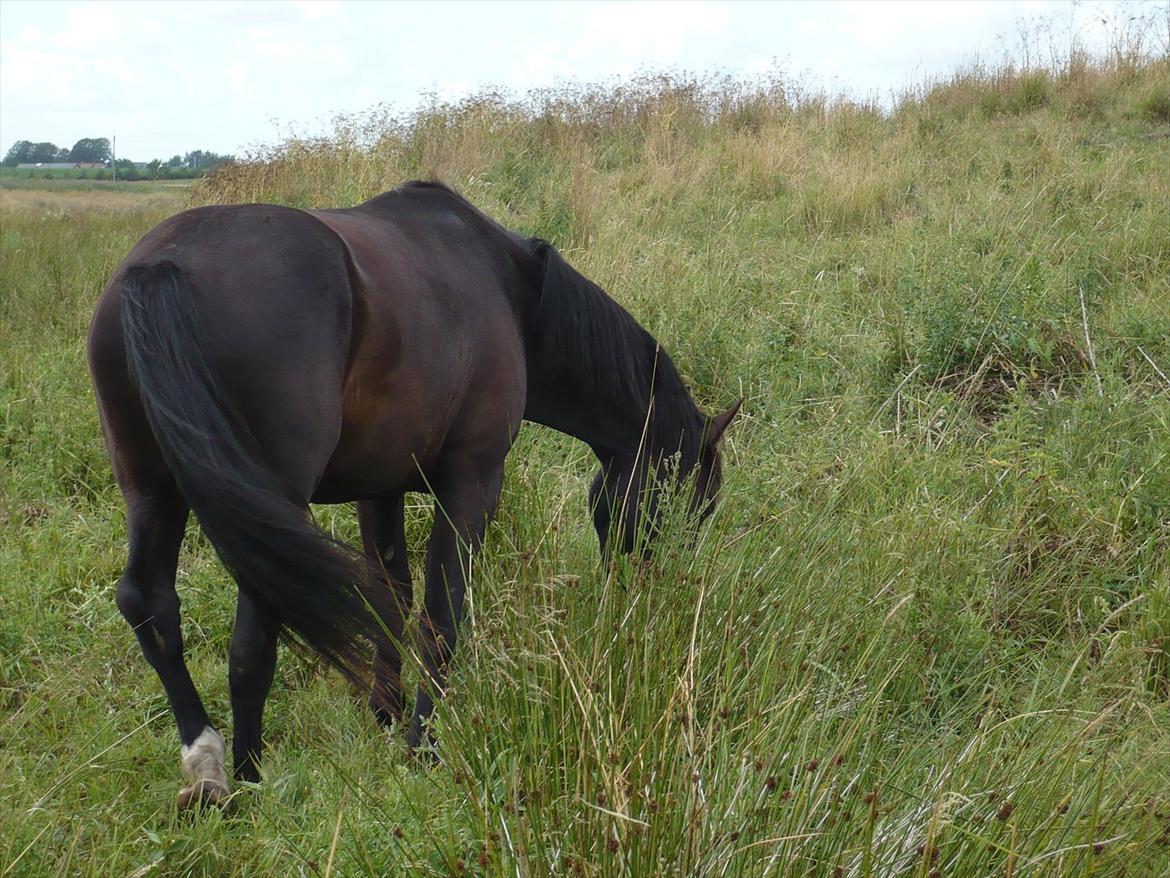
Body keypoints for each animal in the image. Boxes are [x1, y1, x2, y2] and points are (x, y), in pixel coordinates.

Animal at [86, 180, 734, 810]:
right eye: (691, 506)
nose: (650, 597)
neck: (510, 289)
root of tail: (164, 265)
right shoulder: (473, 483)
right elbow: (442, 614)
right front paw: (424, 741)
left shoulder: (380, 489)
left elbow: (391, 596)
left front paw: (386, 711)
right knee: (253, 636)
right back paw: (248, 778)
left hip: (153, 488)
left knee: (151, 604)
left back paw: (208, 765)